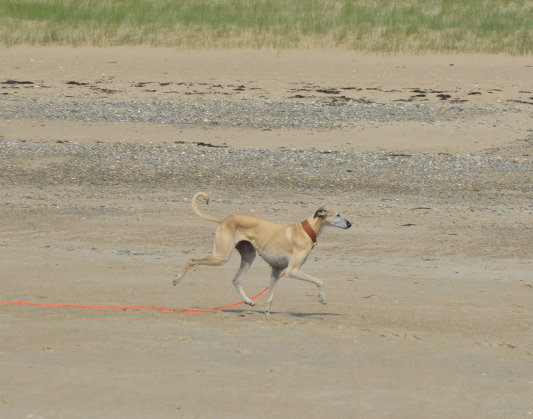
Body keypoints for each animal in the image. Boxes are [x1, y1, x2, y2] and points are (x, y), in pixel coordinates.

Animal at [173, 192, 351, 314]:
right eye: (338, 214)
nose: (350, 224)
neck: (306, 230)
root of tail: (225, 220)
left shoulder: (277, 269)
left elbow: (270, 295)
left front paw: (266, 310)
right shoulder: (292, 271)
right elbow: (319, 280)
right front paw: (322, 298)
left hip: (248, 256)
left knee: (236, 280)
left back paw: (249, 302)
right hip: (221, 257)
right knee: (192, 260)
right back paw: (176, 279)